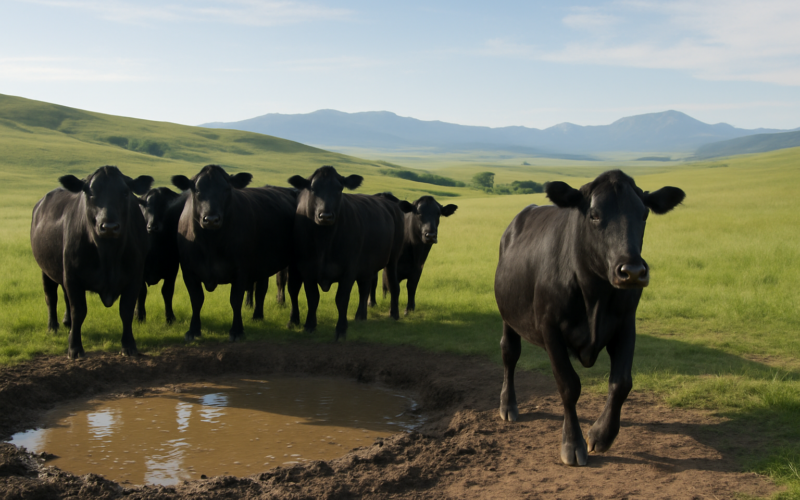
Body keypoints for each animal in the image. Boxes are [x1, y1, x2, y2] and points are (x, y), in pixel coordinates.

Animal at [30, 166, 153, 359]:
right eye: (91, 193)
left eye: (125, 192)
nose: (109, 227)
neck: (108, 254)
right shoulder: (73, 277)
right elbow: (79, 311)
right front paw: (74, 348)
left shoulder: (135, 278)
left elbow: (126, 310)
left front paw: (129, 345)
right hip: (46, 270)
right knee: (51, 296)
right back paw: (53, 327)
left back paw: (66, 322)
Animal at [134, 187, 188, 324]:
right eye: (146, 206)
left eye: (165, 206)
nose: (152, 226)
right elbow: (141, 291)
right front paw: (140, 316)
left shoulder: (172, 269)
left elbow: (167, 291)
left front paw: (170, 317)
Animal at [171, 165, 296, 342]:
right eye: (196, 190)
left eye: (227, 189)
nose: (211, 219)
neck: (211, 243)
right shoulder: (188, 271)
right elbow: (196, 300)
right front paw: (193, 330)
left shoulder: (241, 270)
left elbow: (235, 300)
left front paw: (237, 330)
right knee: (261, 289)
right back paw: (257, 316)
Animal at [286, 166, 409, 340]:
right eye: (313, 188)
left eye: (339, 189)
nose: (326, 215)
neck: (324, 241)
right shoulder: (307, 269)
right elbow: (312, 297)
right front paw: (309, 325)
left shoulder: (349, 270)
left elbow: (342, 299)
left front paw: (341, 329)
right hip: (367, 265)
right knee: (364, 288)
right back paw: (360, 316)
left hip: (392, 259)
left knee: (393, 285)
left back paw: (394, 314)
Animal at [494, 170, 684, 466]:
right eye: (594, 215)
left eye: (644, 214)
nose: (632, 271)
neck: (595, 294)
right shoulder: (550, 328)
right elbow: (569, 385)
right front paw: (573, 443)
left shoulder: (626, 324)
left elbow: (621, 382)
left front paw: (601, 434)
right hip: (509, 317)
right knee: (509, 354)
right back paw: (508, 405)